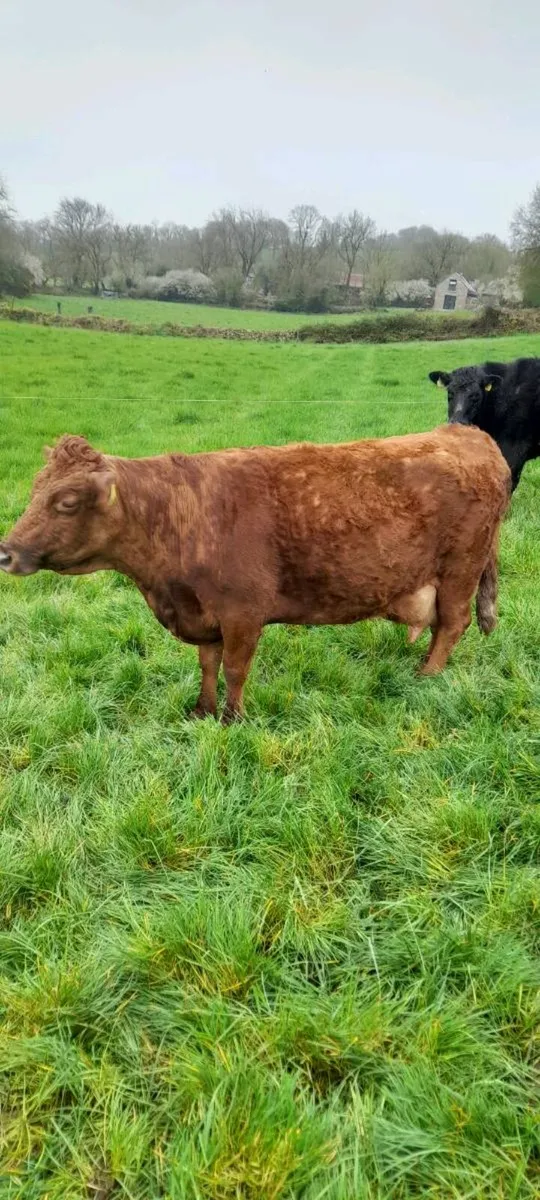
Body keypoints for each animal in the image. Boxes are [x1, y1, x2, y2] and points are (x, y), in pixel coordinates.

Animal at [0, 429, 510, 722]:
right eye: (35, 489)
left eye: (66, 502)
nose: (5, 552)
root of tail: (470, 434)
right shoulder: (203, 614)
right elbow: (208, 665)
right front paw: (202, 711)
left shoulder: (243, 614)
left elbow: (236, 669)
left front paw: (233, 718)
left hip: (460, 570)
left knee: (452, 625)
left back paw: (427, 676)